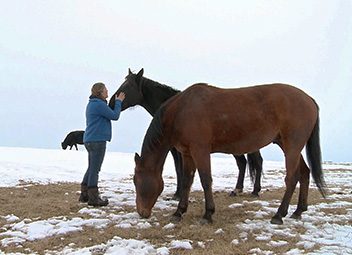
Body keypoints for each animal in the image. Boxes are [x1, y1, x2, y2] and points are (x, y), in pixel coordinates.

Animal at [133, 82, 326, 224]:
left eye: (136, 181)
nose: (142, 213)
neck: (182, 110)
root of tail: (309, 99)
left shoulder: (200, 151)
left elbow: (206, 181)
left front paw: (208, 214)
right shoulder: (187, 154)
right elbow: (187, 181)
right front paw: (179, 212)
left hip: (292, 147)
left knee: (292, 178)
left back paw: (279, 215)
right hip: (289, 146)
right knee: (305, 173)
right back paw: (298, 211)